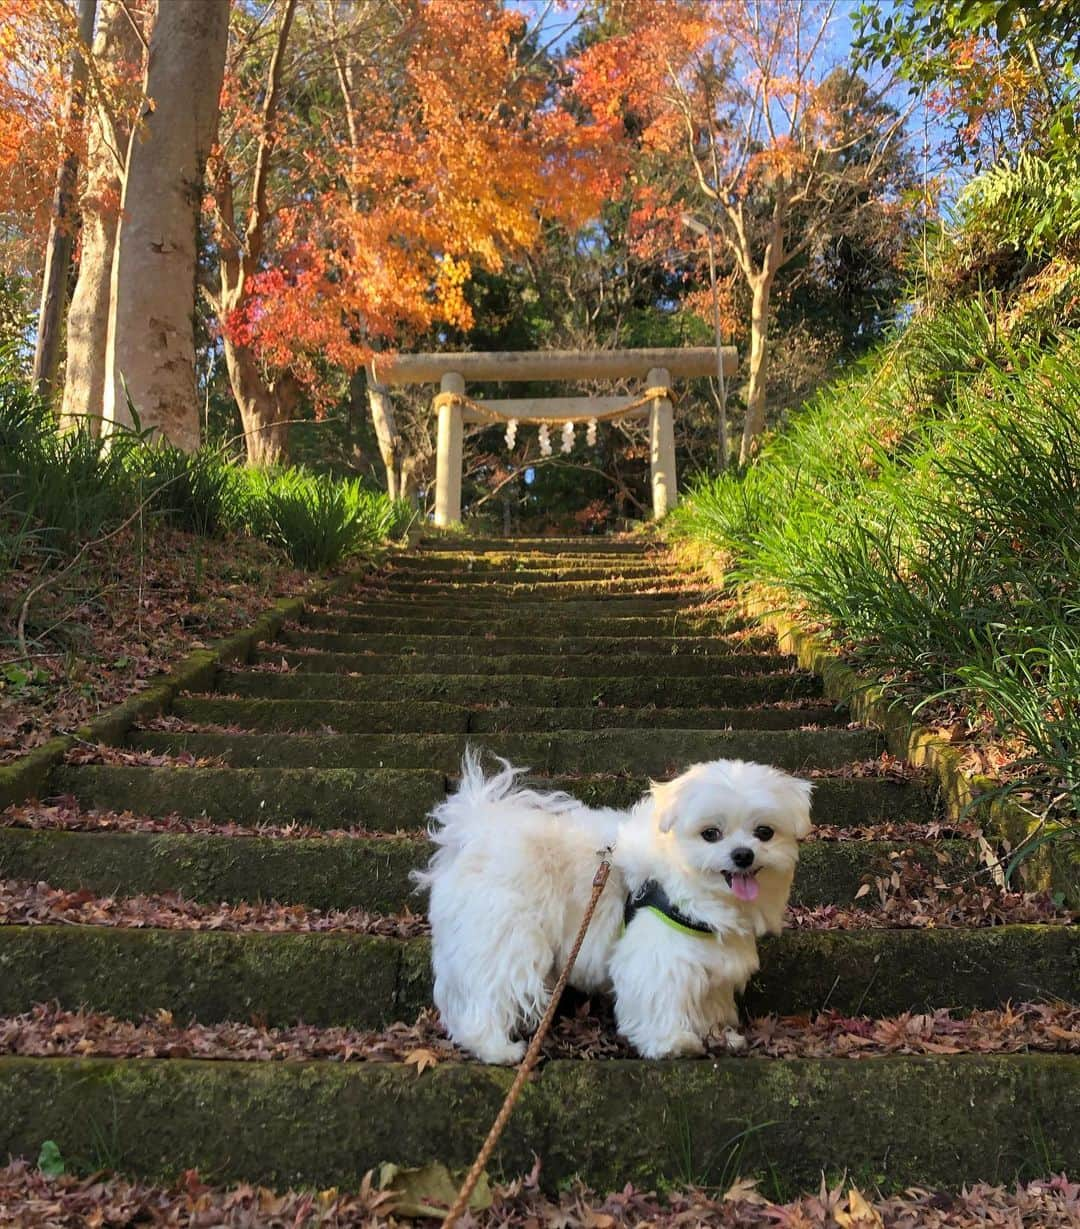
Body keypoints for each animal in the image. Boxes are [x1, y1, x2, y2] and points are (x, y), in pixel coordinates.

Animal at [412, 752, 810, 1061]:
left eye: (764, 832)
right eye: (710, 833)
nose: (743, 855)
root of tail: (476, 831)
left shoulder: (709, 958)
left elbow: (707, 999)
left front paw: (717, 1034)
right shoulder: (658, 950)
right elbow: (659, 994)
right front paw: (673, 1042)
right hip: (507, 936)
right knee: (491, 989)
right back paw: (495, 1048)